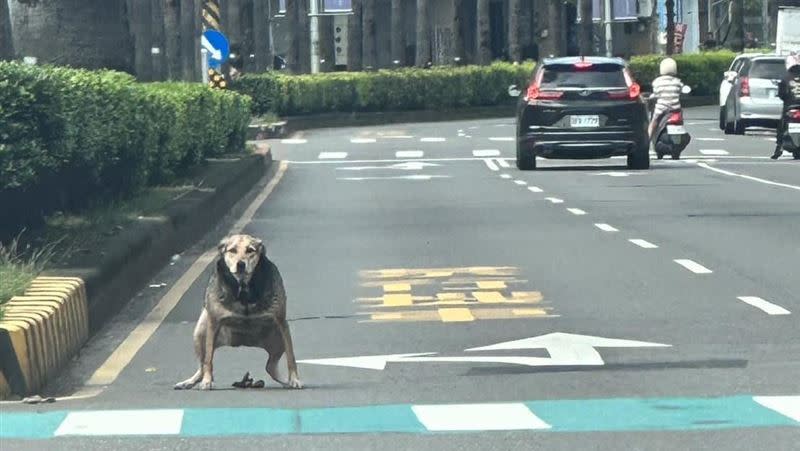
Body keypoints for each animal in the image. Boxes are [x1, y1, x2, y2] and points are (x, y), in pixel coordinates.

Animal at [173, 235, 302, 390]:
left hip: (277, 340)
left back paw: (283, 381)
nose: (241, 264)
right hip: (200, 333)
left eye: (250, 250)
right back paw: (191, 381)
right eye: (232, 250)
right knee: (202, 364)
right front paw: (207, 381)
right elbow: (208, 359)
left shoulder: (281, 321)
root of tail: (241, 342)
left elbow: (291, 356)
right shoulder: (213, 322)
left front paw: (294, 379)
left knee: (270, 366)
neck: (243, 288)